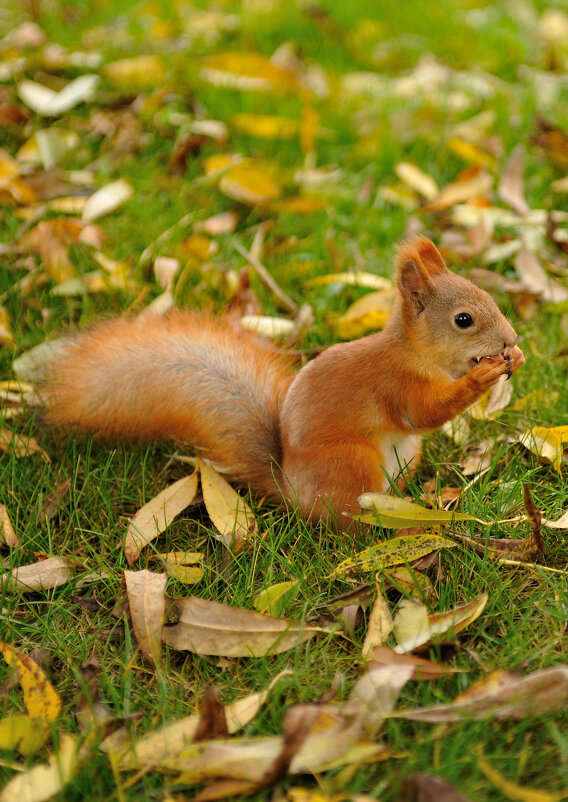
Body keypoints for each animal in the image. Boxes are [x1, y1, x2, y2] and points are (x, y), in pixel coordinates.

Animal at [43, 236, 524, 524]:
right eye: (463, 320)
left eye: (491, 297)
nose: (511, 339)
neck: (414, 352)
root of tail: (293, 492)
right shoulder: (396, 384)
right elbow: (425, 413)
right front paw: (483, 375)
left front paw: (513, 358)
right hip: (352, 462)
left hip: (405, 456)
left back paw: (421, 499)